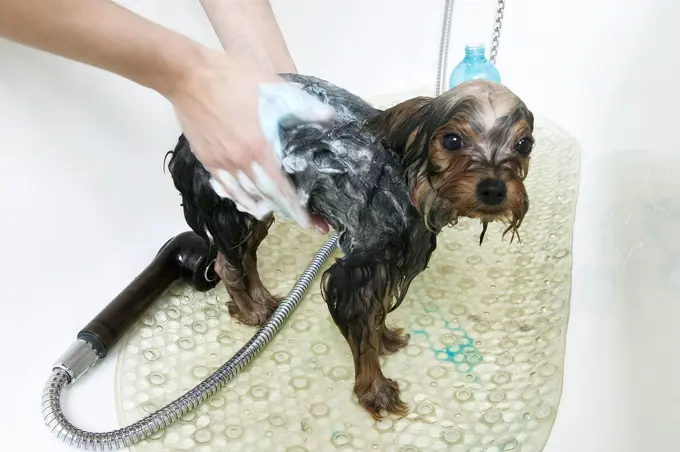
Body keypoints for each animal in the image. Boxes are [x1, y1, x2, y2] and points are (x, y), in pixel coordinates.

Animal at [166, 73, 536, 416]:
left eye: (524, 144)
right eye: (452, 140)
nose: (494, 189)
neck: (412, 183)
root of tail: (186, 135)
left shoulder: (389, 262)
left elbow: (378, 310)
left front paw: (384, 338)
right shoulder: (357, 269)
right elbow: (363, 338)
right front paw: (375, 391)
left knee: (247, 256)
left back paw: (262, 300)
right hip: (230, 205)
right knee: (226, 264)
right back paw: (250, 310)